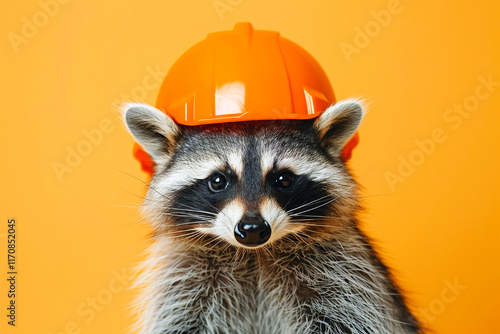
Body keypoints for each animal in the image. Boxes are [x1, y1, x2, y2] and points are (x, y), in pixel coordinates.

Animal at [123, 99, 420, 334]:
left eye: (283, 179)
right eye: (218, 181)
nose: (252, 228)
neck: (253, 255)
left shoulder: (346, 275)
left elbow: (349, 320)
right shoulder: (183, 280)